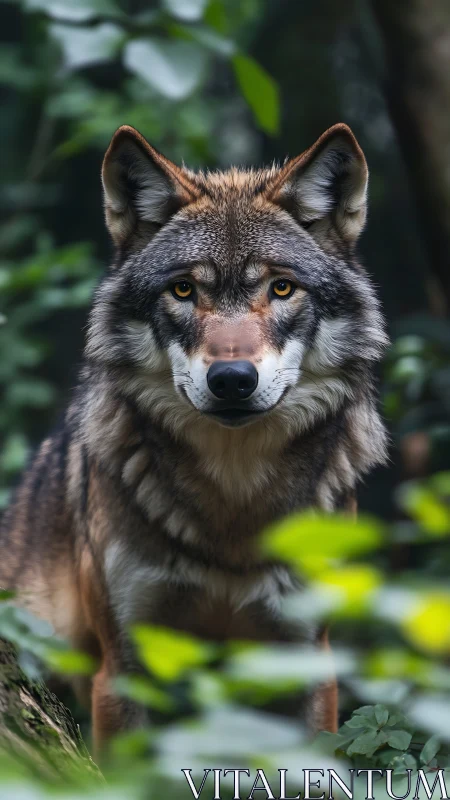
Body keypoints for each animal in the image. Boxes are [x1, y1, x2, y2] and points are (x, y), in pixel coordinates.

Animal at [0, 123, 387, 754]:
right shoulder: (125, 668)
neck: (233, 503)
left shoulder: (305, 663)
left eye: (282, 288)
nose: (231, 379)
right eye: (183, 291)